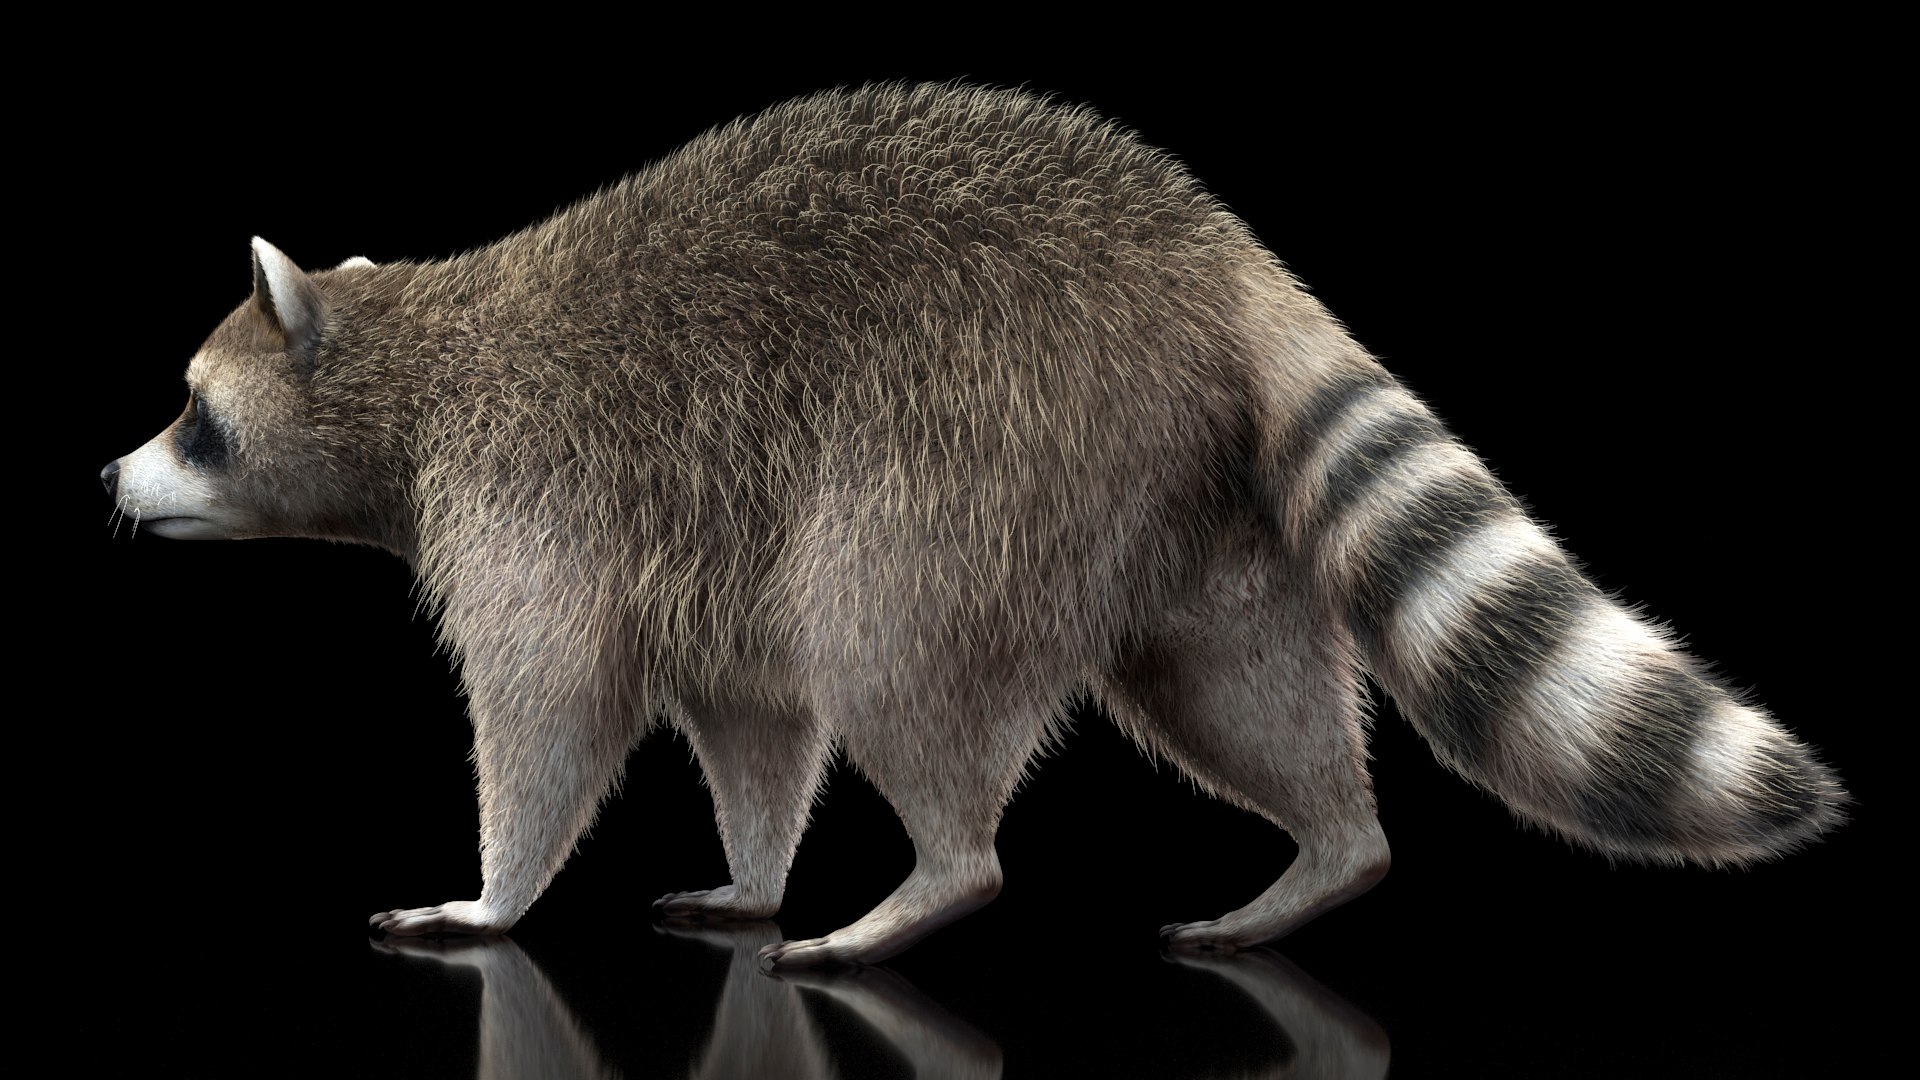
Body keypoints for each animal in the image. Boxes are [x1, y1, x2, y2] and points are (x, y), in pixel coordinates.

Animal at [101, 83, 1845, 968]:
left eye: (190, 412)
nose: (108, 481)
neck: (417, 350)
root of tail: (1219, 259)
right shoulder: (668, 538)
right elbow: (749, 722)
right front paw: (750, 864)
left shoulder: (529, 498)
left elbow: (555, 712)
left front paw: (493, 896)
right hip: (1170, 487)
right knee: (1232, 685)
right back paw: (1329, 851)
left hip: (983, 445)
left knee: (887, 648)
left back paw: (936, 876)